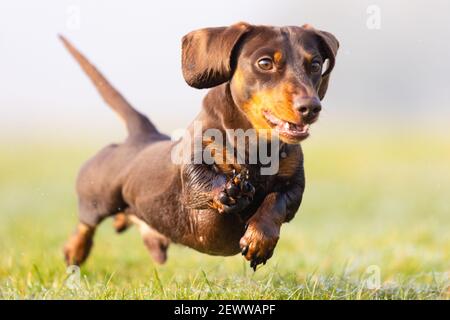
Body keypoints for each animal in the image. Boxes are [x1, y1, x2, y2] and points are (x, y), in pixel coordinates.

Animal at [60, 21, 338, 268]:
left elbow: (277, 203)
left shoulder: (293, 185)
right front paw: (229, 191)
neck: (256, 145)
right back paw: (75, 250)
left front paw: (259, 241)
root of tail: (143, 135)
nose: (310, 108)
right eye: (265, 63)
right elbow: (202, 181)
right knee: (87, 222)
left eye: (315, 64)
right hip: (99, 196)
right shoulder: (196, 162)